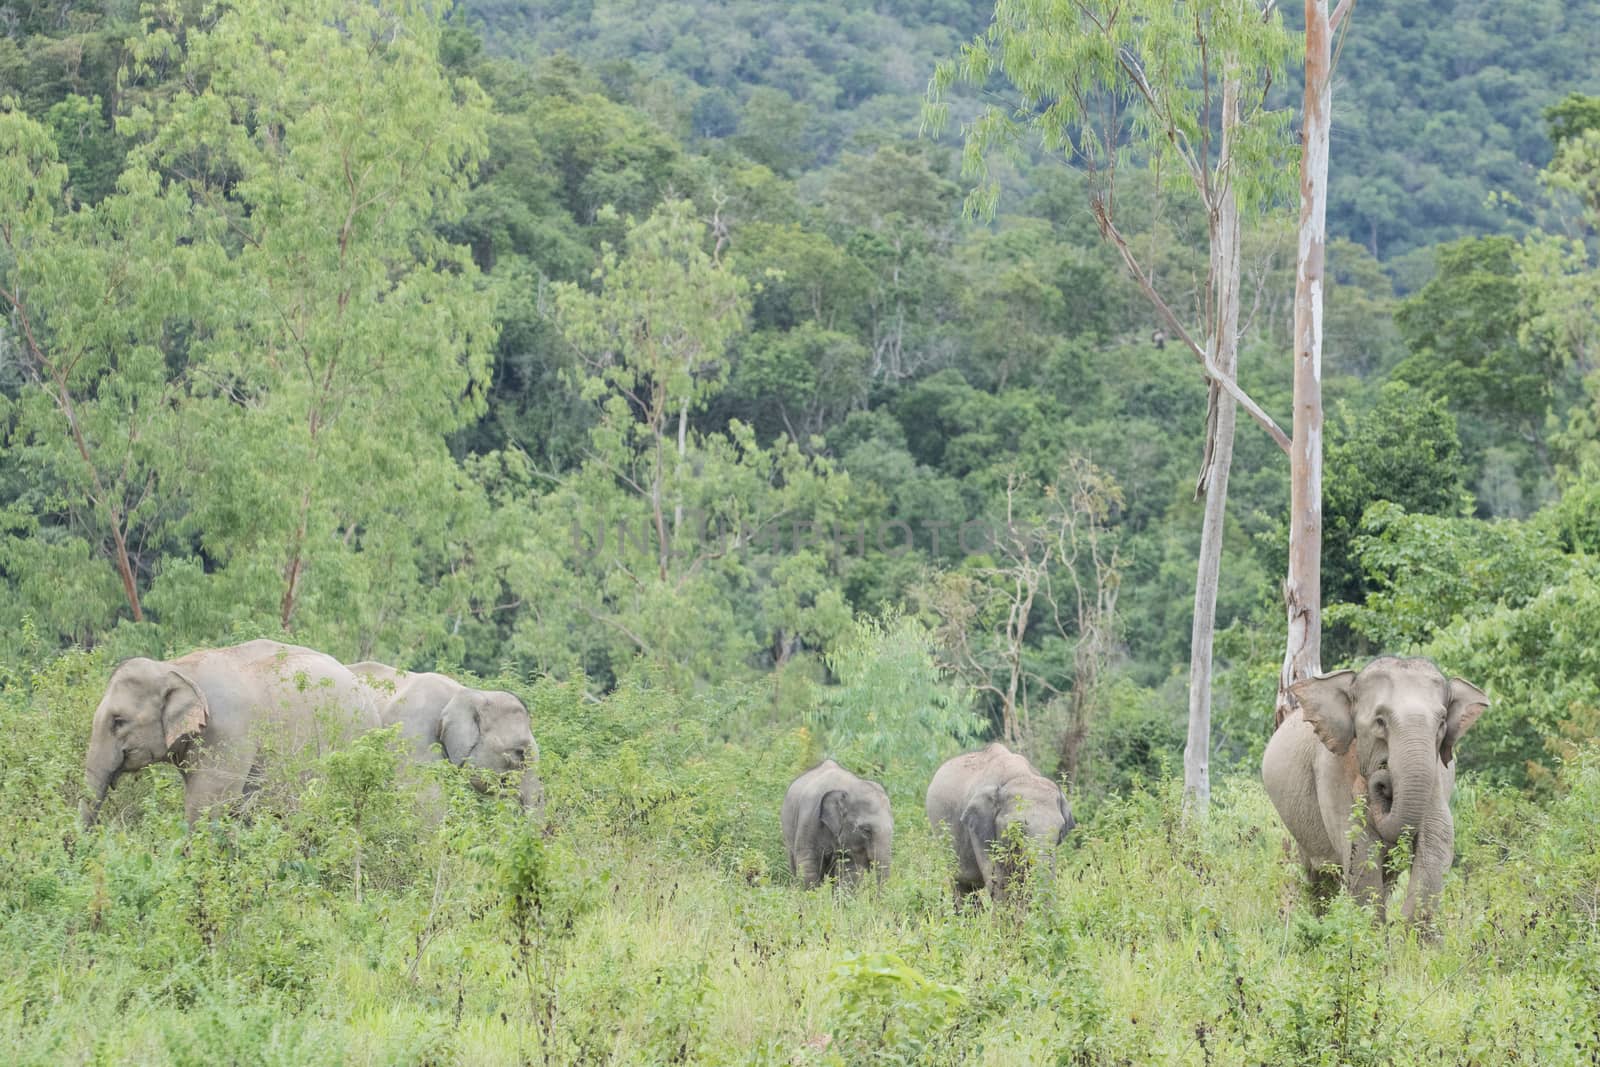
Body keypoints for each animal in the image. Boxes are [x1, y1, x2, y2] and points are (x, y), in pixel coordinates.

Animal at [928, 742, 1075, 902]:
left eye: (1060, 832)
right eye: (1018, 829)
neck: (1020, 775)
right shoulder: (980, 830)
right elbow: (999, 882)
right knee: (961, 883)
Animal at [1260, 655, 1484, 921]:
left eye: (1441, 723)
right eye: (1380, 721)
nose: (1383, 779)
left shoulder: (1437, 771)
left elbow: (1436, 839)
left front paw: (1407, 924)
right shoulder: (1332, 768)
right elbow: (1359, 847)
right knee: (1316, 878)